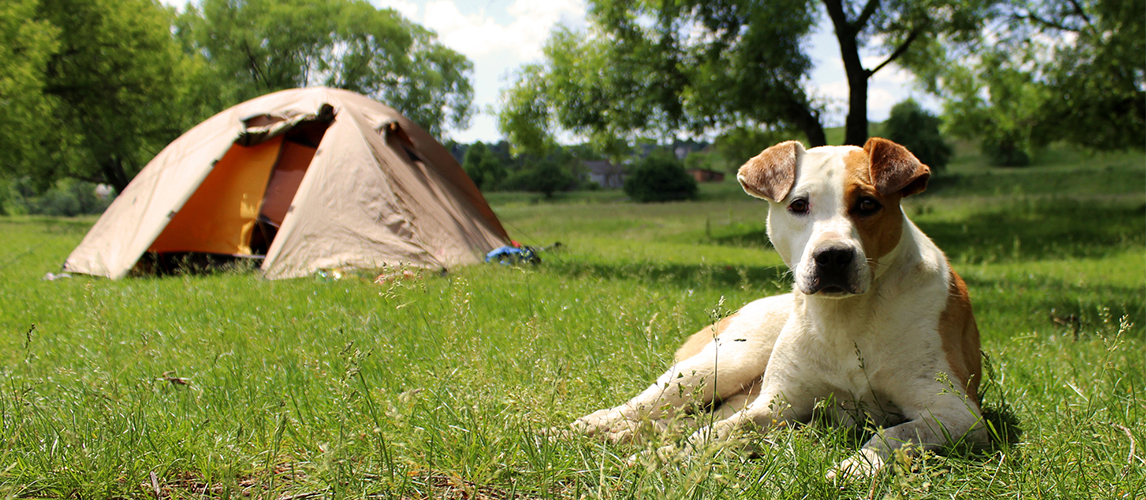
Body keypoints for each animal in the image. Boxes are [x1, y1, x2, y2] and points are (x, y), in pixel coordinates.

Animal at [570, 137, 985, 479]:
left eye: (868, 203)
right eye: (799, 205)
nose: (833, 256)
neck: (844, 319)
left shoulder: (957, 415)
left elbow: (894, 435)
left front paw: (856, 465)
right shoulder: (774, 404)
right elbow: (710, 435)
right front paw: (660, 459)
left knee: (675, 420)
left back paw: (627, 436)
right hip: (721, 364)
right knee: (641, 408)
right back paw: (584, 428)